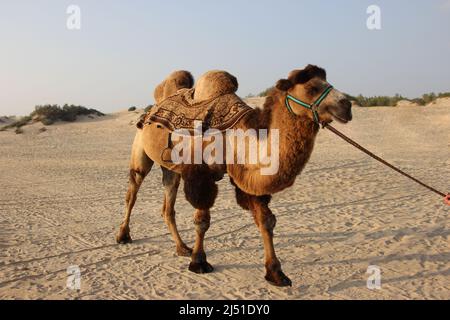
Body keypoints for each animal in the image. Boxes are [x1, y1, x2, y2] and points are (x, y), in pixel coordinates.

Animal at [115, 64, 352, 284]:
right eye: (312, 88)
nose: (347, 105)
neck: (239, 136)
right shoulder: (202, 175)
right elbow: (202, 220)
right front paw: (199, 262)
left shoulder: (245, 177)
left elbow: (266, 220)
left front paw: (276, 273)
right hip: (140, 149)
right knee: (133, 191)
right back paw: (123, 235)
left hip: (171, 168)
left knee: (167, 205)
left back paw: (182, 247)